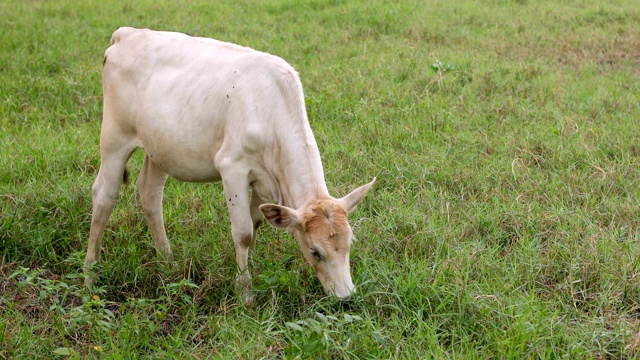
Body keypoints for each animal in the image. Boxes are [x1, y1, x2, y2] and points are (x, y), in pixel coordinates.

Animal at [84, 27, 376, 300]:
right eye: (315, 252)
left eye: (350, 243)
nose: (346, 296)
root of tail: (128, 33)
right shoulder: (232, 167)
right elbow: (244, 231)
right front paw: (245, 292)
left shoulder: (264, 179)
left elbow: (256, 224)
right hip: (114, 137)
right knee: (104, 194)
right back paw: (90, 273)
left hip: (159, 147)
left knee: (150, 193)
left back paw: (167, 261)